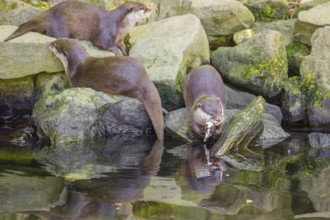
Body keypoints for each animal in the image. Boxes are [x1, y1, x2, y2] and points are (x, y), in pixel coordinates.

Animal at [4, 1, 151, 55]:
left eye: (144, 5)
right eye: (142, 8)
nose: (150, 9)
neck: (120, 27)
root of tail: (48, 14)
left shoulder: (120, 38)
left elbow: (122, 45)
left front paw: (125, 52)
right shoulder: (105, 34)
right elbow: (104, 44)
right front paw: (117, 52)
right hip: (61, 25)